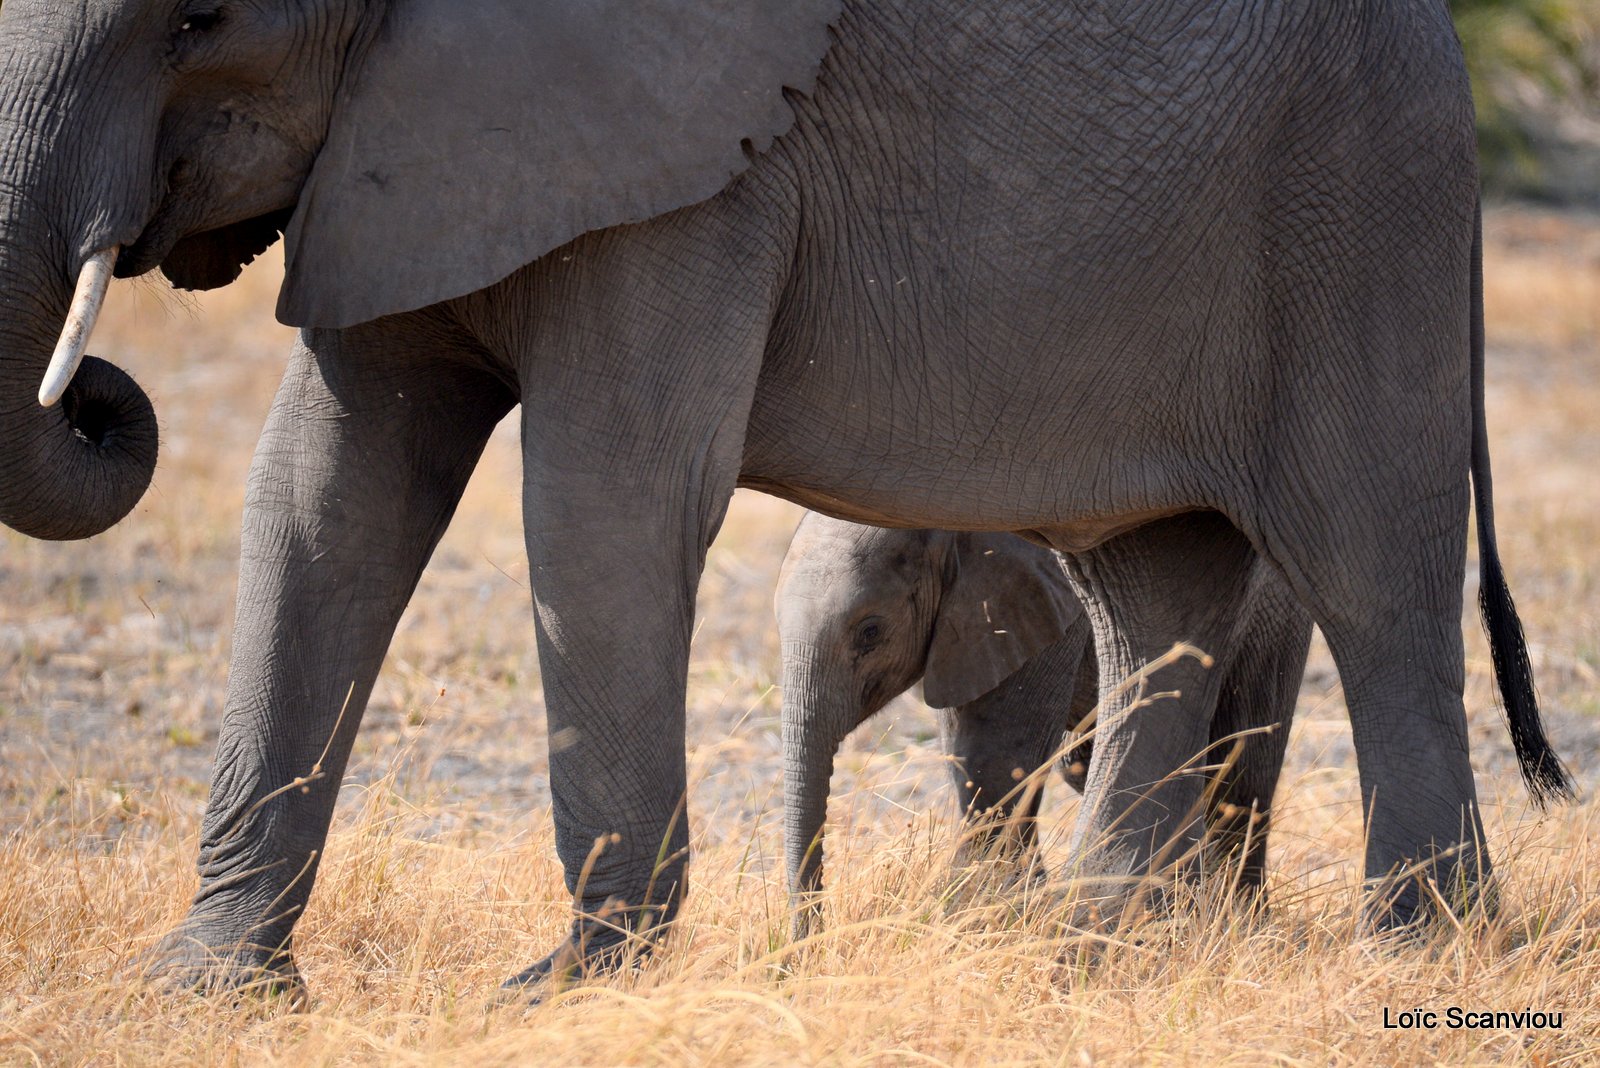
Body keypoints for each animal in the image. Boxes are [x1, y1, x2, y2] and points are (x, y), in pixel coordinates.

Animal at [774, 511, 1312, 933]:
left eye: (870, 632)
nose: (807, 947)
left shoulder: (1029, 600)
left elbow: (994, 753)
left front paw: (983, 918)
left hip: (1277, 616)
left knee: (1243, 767)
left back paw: (1239, 921)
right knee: (1086, 763)